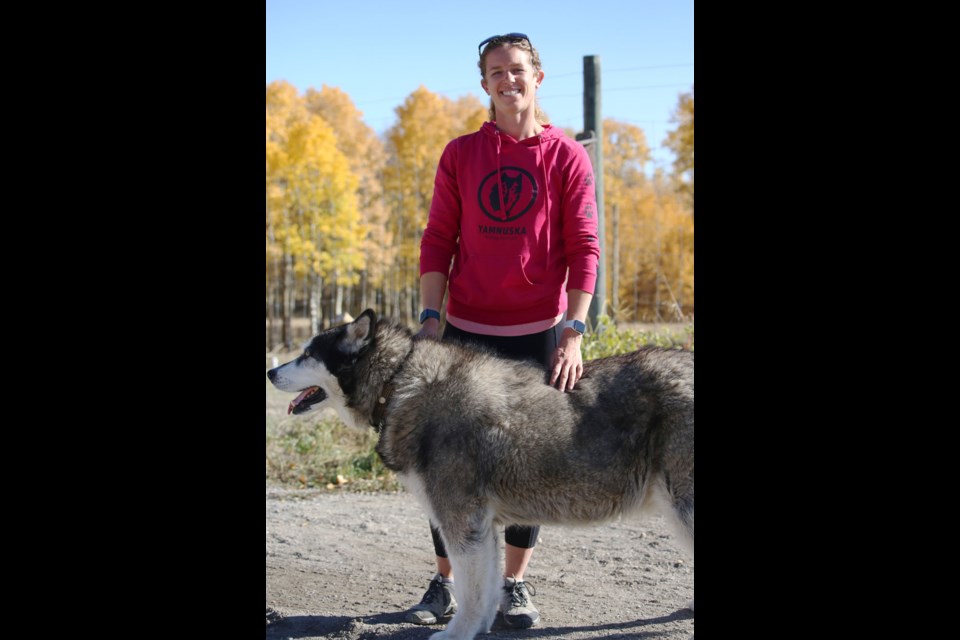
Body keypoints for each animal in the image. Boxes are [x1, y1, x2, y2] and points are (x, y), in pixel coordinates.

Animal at [266, 310, 692, 640]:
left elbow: (471, 593)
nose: (270, 371)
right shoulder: (481, 527)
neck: (398, 382)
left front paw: (456, 634)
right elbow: (483, 590)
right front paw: (478, 628)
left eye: (307, 355)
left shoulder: (462, 522)